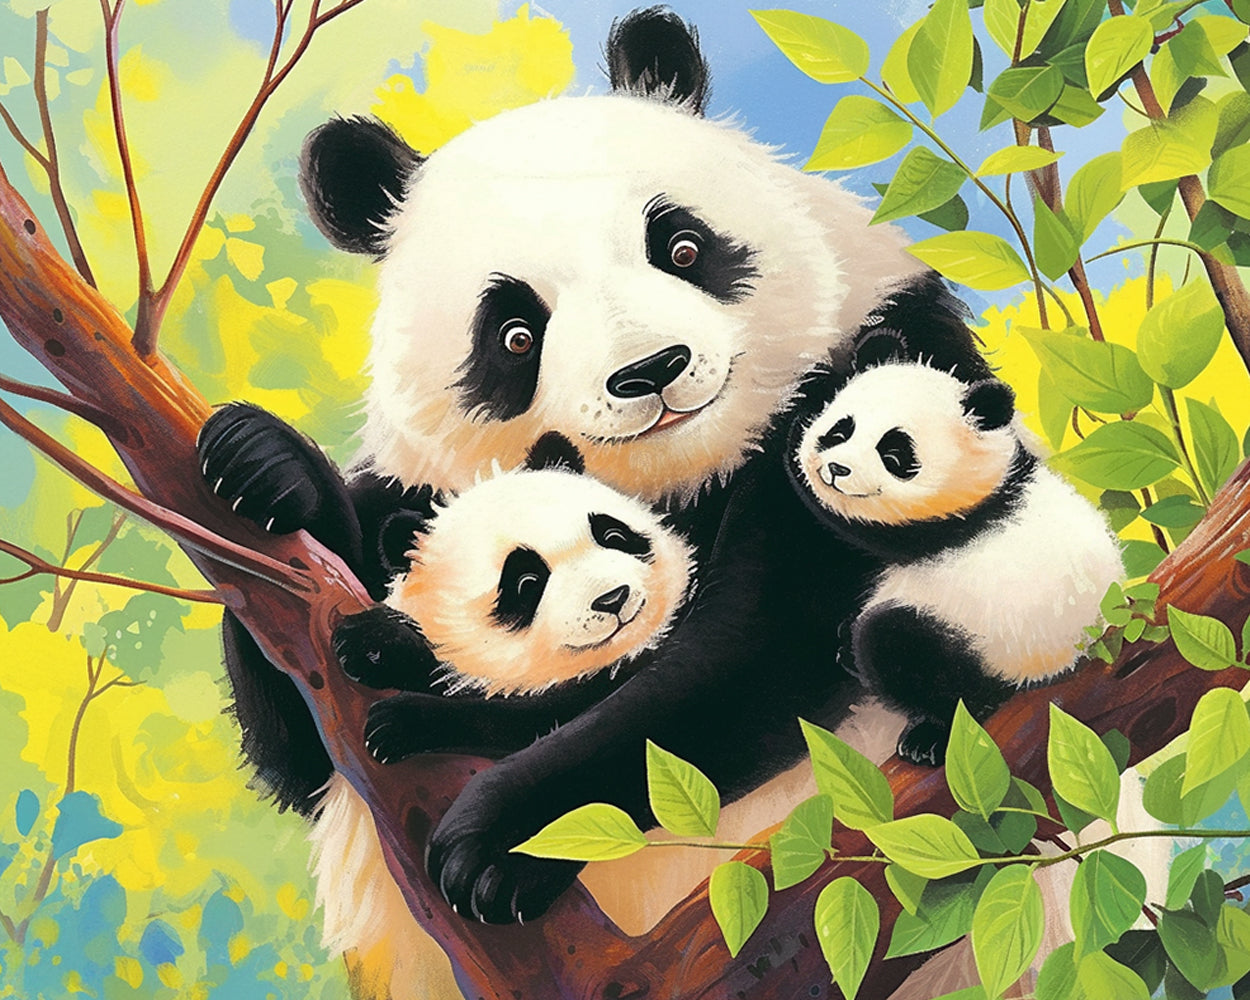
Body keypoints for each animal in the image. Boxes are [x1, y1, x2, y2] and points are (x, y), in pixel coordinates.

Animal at [197, 6, 1000, 937]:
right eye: (516, 332)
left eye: (681, 247)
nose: (650, 370)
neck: (679, 477)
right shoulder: (433, 491)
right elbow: (304, 746)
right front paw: (263, 469)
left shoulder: (877, 387)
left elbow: (753, 659)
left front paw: (497, 840)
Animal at [789, 356, 1126, 766]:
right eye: (840, 431)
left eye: (894, 455)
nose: (837, 469)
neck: (1000, 477)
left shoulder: (951, 523)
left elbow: (869, 528)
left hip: (1007, 650)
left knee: (905, 648)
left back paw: (929, 731)